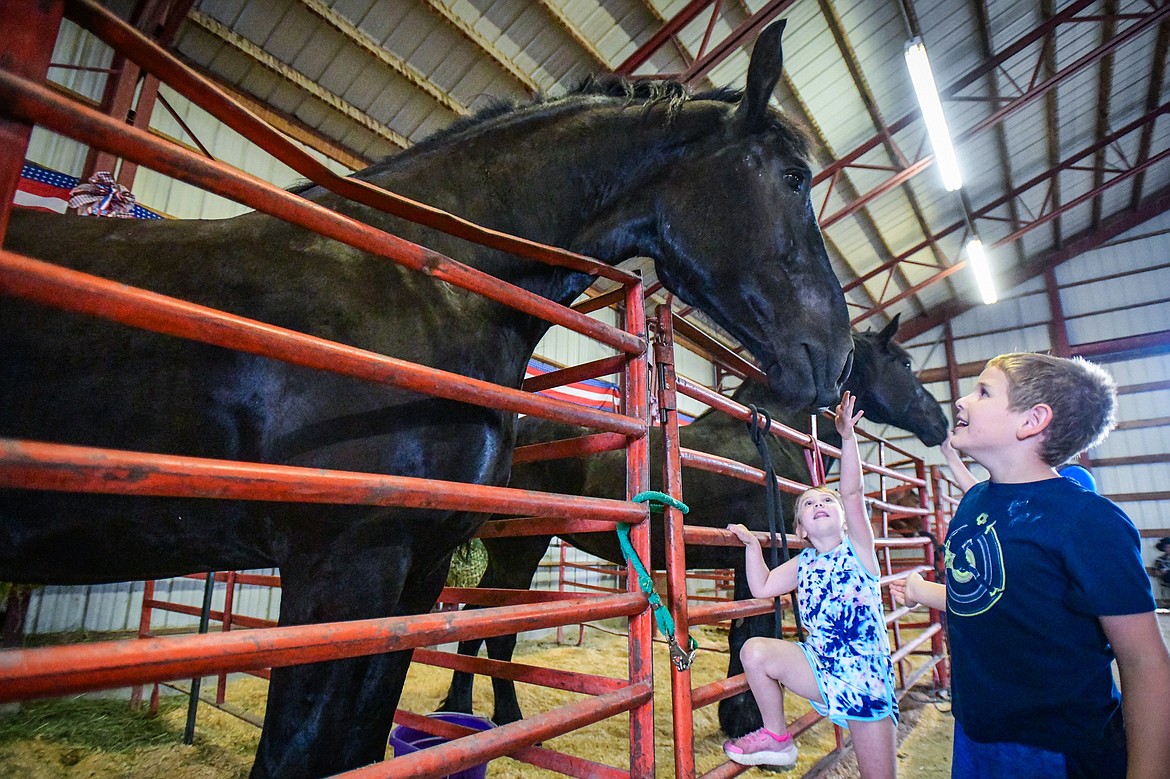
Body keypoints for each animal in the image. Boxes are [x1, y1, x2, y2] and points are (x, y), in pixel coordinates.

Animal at [4, 21, 856, 771]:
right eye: (792, 178)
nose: (836, 357)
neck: (422, 276)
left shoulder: (415, 571)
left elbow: (355, 745)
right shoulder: (342, 571)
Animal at [439, 313, 950, 729]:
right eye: (905, 364)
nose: (941, 422)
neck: (770, 438)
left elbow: (749, 630)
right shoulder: (761, 556)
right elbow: (749, 630)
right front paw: (740, 718)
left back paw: (459, 710)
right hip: (522, 548)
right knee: (496, 630)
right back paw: (506, 717)